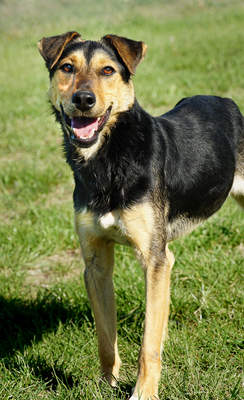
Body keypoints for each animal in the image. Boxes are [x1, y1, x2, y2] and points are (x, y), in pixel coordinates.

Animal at [38, 32, 244, 400]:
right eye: (67, 68)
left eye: (107, 70)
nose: (83, 99)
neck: (108, 160)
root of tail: (225, 100)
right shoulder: (96, 260)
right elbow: (106, 335)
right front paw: (107, 383)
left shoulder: (154, 258)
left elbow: (147, 345)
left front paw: (143, 392)